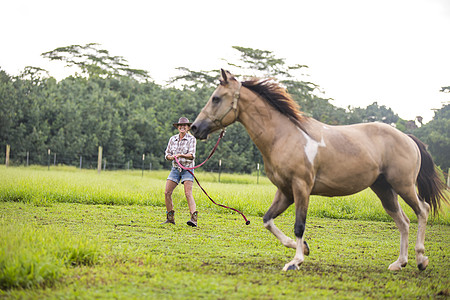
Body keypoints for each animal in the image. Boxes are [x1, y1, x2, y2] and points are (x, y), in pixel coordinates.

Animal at [188, 69, 448, 272]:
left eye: (216, 98)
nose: (195, 128)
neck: (285, 136)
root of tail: (408, 138)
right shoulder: (285, 191)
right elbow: (267, 220)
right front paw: (302, 248)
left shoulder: (301, 187)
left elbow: (299, 225)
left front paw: (295, 262)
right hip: (385, 190)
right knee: (403, 222)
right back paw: (399, 263)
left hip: (403, 185)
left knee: (422, 211)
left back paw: (421, 259)